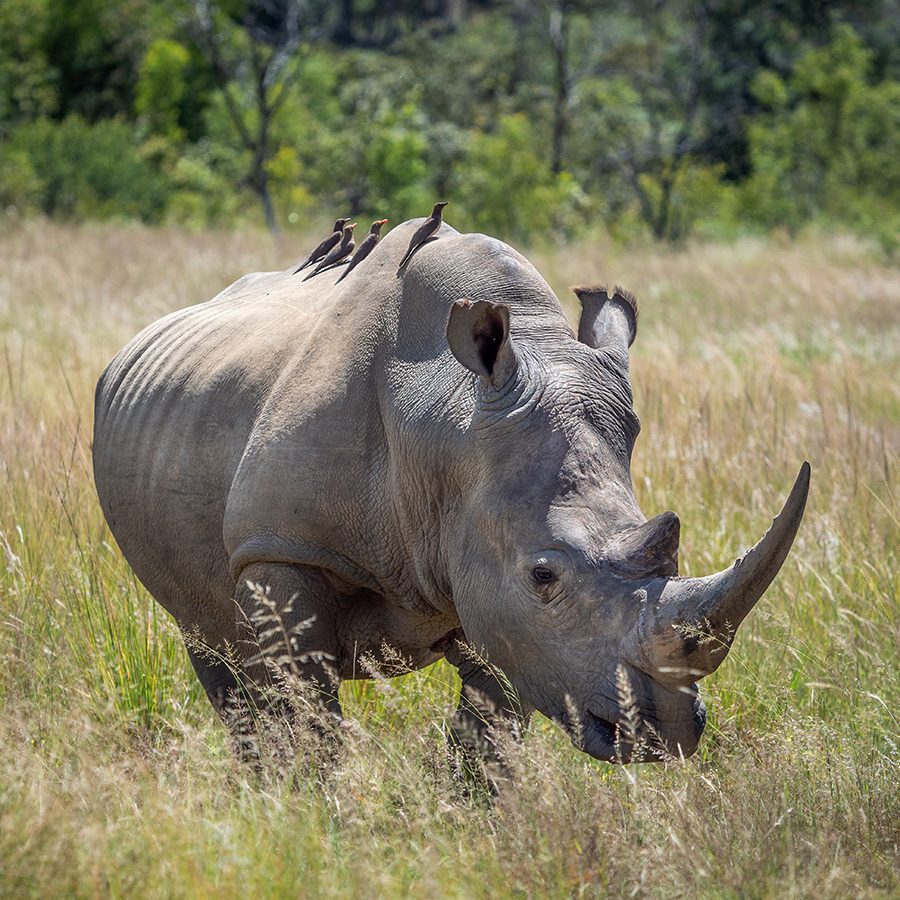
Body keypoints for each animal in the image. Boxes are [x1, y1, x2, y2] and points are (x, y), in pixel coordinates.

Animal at [95, 218, 812, 760]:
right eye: (544, 576)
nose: (666, 731)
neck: (446, 423)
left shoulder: (503, 606)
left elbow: (487, 737)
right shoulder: (280, 546)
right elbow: (307, 721)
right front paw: (309, 822)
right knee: (210, 644)